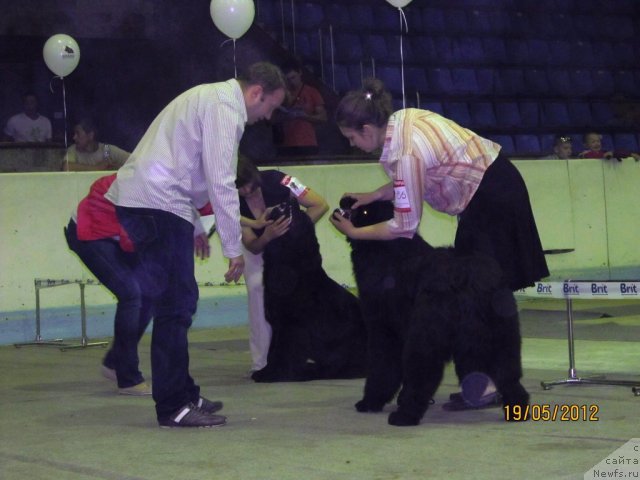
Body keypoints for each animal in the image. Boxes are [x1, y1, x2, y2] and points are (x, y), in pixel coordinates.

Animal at [252, 199, 368, 382]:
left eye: (300, 217)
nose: (291, 200)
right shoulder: (278, 325)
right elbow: (273, 351)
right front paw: (266, 370)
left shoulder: (293, 326)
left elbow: (283, 352)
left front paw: (274, 374)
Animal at [338, 197, 528, 426]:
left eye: (364, 211)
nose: (346, 199)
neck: (385, 252)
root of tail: (464, 275)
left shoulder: (383, 330)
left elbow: (382, 369)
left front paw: (370, 402)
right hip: (500, 336)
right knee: (508, 374)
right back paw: (517, 410)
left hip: (426, 335)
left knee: (422, 375)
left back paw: (404, 415)